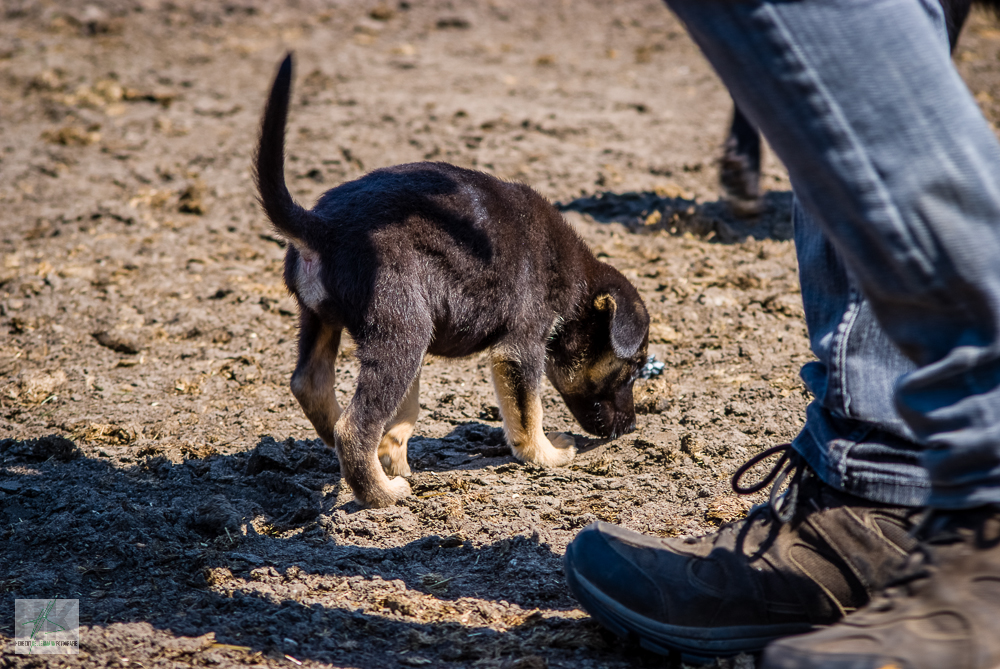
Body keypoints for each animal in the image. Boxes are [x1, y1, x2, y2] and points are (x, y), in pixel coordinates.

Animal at [254, 54, 652, 506]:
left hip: (327, 320)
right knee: (354, 428)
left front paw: (395, 454)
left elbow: (406, 413)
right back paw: (381, 493)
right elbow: (528, 412)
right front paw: (546, 455)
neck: (578, 289)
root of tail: (322, 228)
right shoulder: (520, 347)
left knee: (312, 385)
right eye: (634, 368)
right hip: (403, 332)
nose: (632, 428)